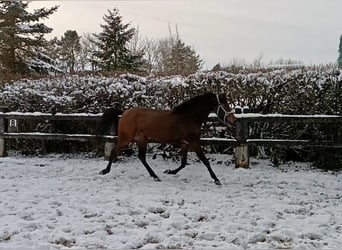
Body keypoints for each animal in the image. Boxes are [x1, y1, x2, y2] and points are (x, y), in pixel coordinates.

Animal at [99, 93, 235, 185]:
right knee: (114, 151)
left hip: (142, 139)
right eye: (224, 104)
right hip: (126, 138)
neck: (189, 118)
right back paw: (105, 171)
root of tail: (124, 113)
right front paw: (216, 180)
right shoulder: (193, 142)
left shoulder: (185, 144)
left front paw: (170, 171)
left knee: (142, 157)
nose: (233, 120)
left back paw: (155, 176)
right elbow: (205, 161)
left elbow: (183, 163)